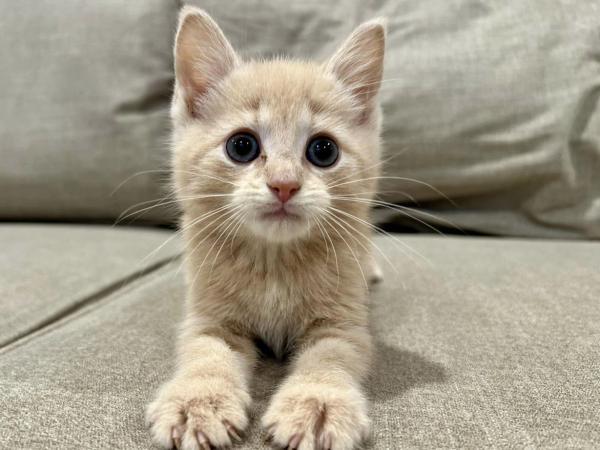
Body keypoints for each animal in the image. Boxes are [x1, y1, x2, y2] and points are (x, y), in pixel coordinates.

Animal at [148, 7, 386, 450]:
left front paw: (317, 404)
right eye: (241, 146)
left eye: (323, 150)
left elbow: (330, 357)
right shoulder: (209, 320)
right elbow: (206, 354)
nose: (284, 184)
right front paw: (198, 401)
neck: (274, 262)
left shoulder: (343, 325)